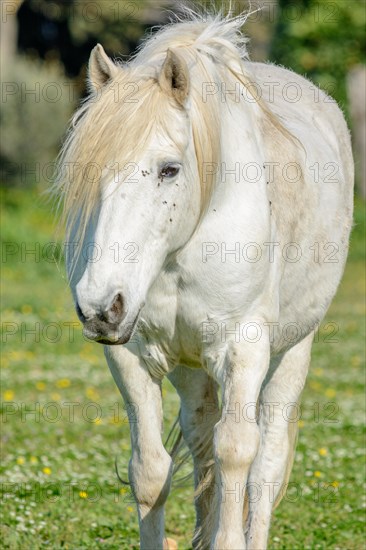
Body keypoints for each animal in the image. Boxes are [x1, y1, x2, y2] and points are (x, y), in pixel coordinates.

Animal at [54, 11, 354, 550]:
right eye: (87, 170)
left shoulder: (245, 349)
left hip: (293, 351)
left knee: (265, 466)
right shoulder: (131, 356)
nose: (100, 307)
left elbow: (237, 454)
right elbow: (151, 471)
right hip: (191, 370)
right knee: (199, 442)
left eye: (169, 169)